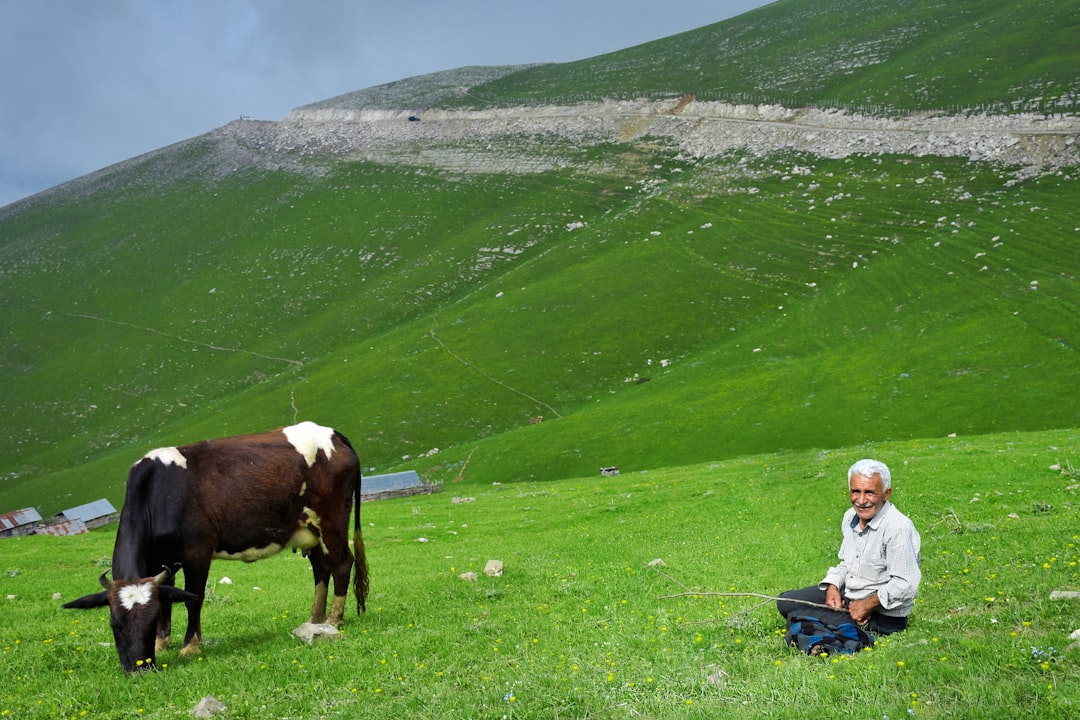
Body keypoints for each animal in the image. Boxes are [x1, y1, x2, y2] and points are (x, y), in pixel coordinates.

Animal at [64, 418, 367, 673]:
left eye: (148, 622)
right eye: (114, 624)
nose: (139, 667)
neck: (158, 494)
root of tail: (333, 434)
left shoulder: (197, 552)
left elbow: (193, 598)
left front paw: (190, 646)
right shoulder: (164, 562)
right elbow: (168, 598)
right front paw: (163, 644)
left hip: (332, 522)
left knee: (341, 564)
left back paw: (333, 621)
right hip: (310, 532)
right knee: (321, 570)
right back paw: (315, 621)